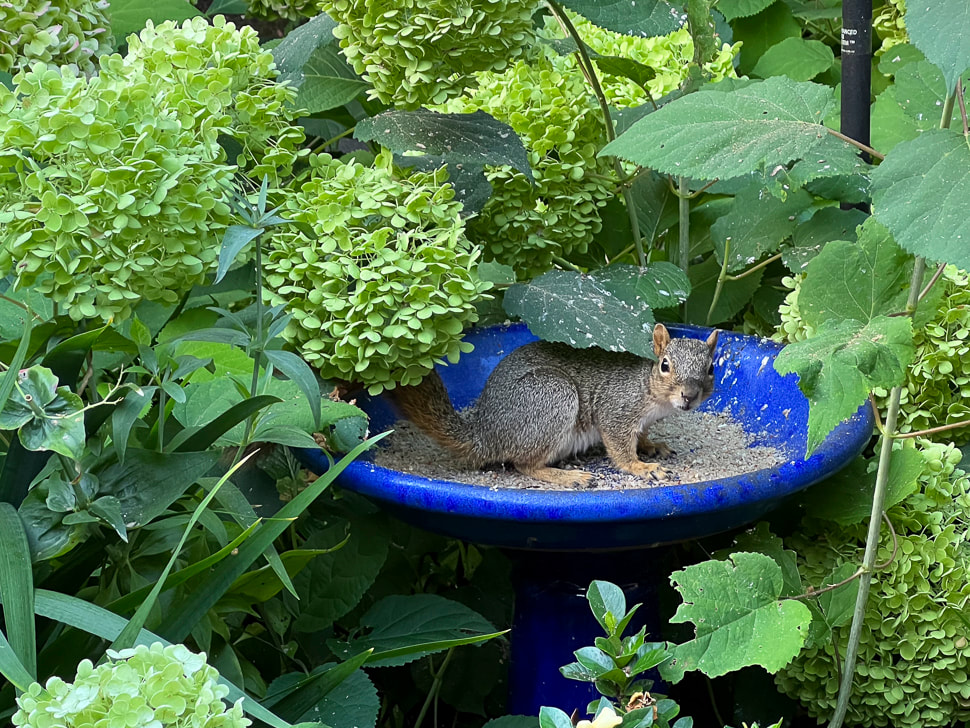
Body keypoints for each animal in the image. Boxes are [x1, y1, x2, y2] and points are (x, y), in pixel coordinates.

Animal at [393, 324, 719, 487]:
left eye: (711, 369)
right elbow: (620, 449)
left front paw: (652, 446)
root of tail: (486, 434)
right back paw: (569, 477)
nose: (689, 396)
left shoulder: (642, 422)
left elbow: (642, 436)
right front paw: (642, 467)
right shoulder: (616, 410)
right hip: (553, 397)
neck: (649, 389)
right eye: (665, 365)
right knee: (524, 465)